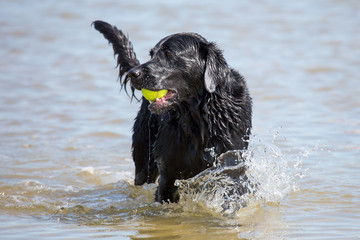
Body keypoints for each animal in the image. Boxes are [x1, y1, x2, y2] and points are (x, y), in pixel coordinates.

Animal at [93, 21, 250, 203]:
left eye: (168, 53)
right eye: (151, 54)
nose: (133, 73)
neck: (198, 118)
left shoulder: (231, 166)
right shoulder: (168, 174)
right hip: (144, 158)